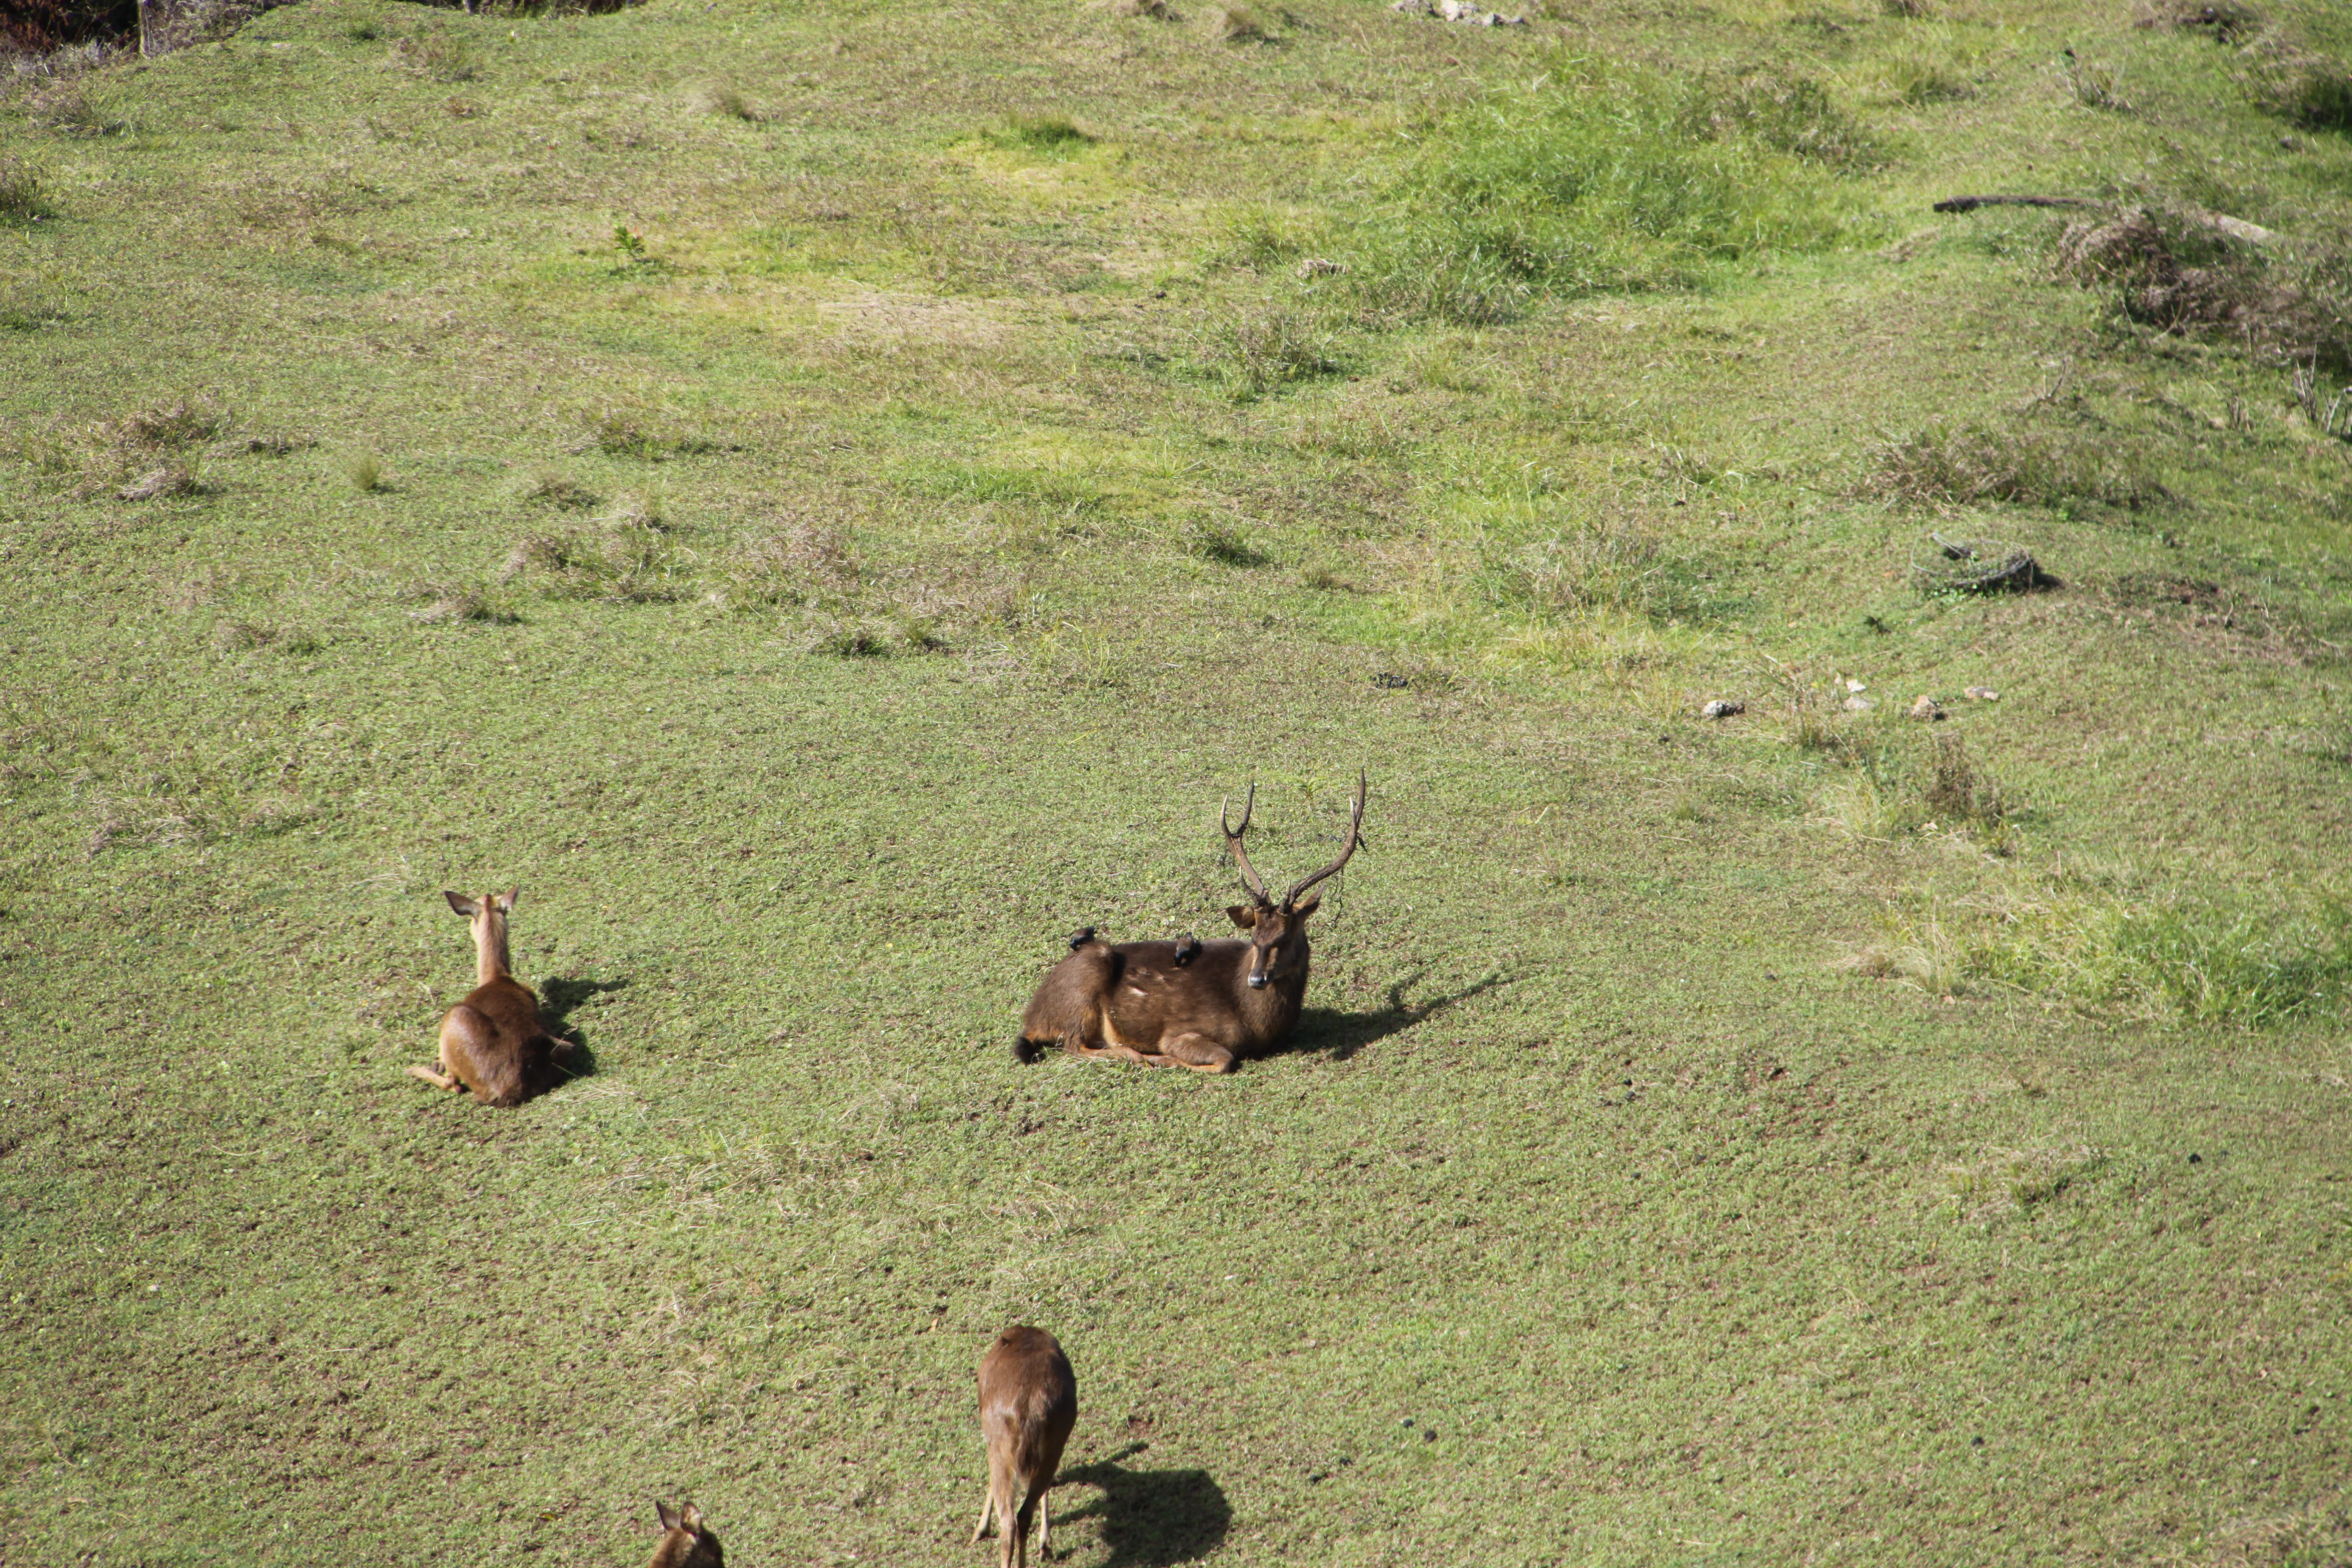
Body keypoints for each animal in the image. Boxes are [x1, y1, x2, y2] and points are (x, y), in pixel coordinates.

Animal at [402, 888, 571, 1109]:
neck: (496, 977)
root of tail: (504, 1090)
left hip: (454, 1016)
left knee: (453, 1084)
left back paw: (414, 1069)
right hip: (564, 1047)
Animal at [969, 1325, 1077, 1568]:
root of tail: (1028, 1407)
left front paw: (980, 1529)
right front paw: (1046, 1544)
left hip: (1000, 1444)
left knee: (1009, 1519)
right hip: (1053, 1444)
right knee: (1024, 1513)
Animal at [1006, 766, 1364, 1072]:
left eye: (1285, 938)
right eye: (1254, 938)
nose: (1257, 980)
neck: (1258, 1024)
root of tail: (1032, 1017)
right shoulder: (1180, 1031)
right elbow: (1225, 1059)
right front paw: (1165, 1059)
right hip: (1088, 975)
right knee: (1073, 1044)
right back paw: (1136, 1055)